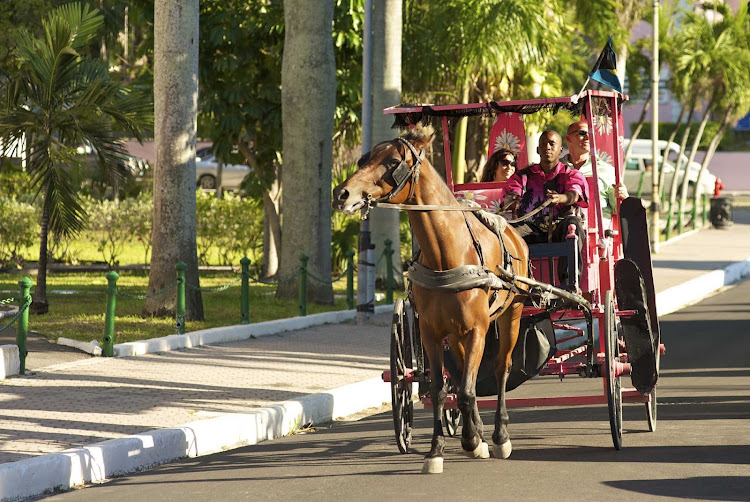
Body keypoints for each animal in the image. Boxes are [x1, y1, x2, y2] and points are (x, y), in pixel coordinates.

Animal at [332, 131, 532, 472]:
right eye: (363, 159)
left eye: (393, 162)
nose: (342, 192)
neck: (447, 253)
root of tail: (513, 229)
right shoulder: (431, 332)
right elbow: (442, 390)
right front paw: (439, 449)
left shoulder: (478, 329)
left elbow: (466, 390)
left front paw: (473, 441)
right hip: (458, 333)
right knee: (466, 373)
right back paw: (478, 433)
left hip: (511, 314)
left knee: (500, 369)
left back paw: (498, 435)